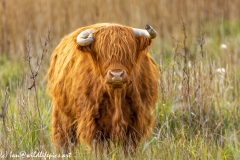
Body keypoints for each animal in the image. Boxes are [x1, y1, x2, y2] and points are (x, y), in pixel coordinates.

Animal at [47, 22, 159, 152]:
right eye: (101, 54)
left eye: (129, 52)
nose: (116, 75)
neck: (116, 95)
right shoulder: (94, 124)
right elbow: (101, 149)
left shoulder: (136, 122)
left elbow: (129, 148)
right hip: (63, 116)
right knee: (66, 140)